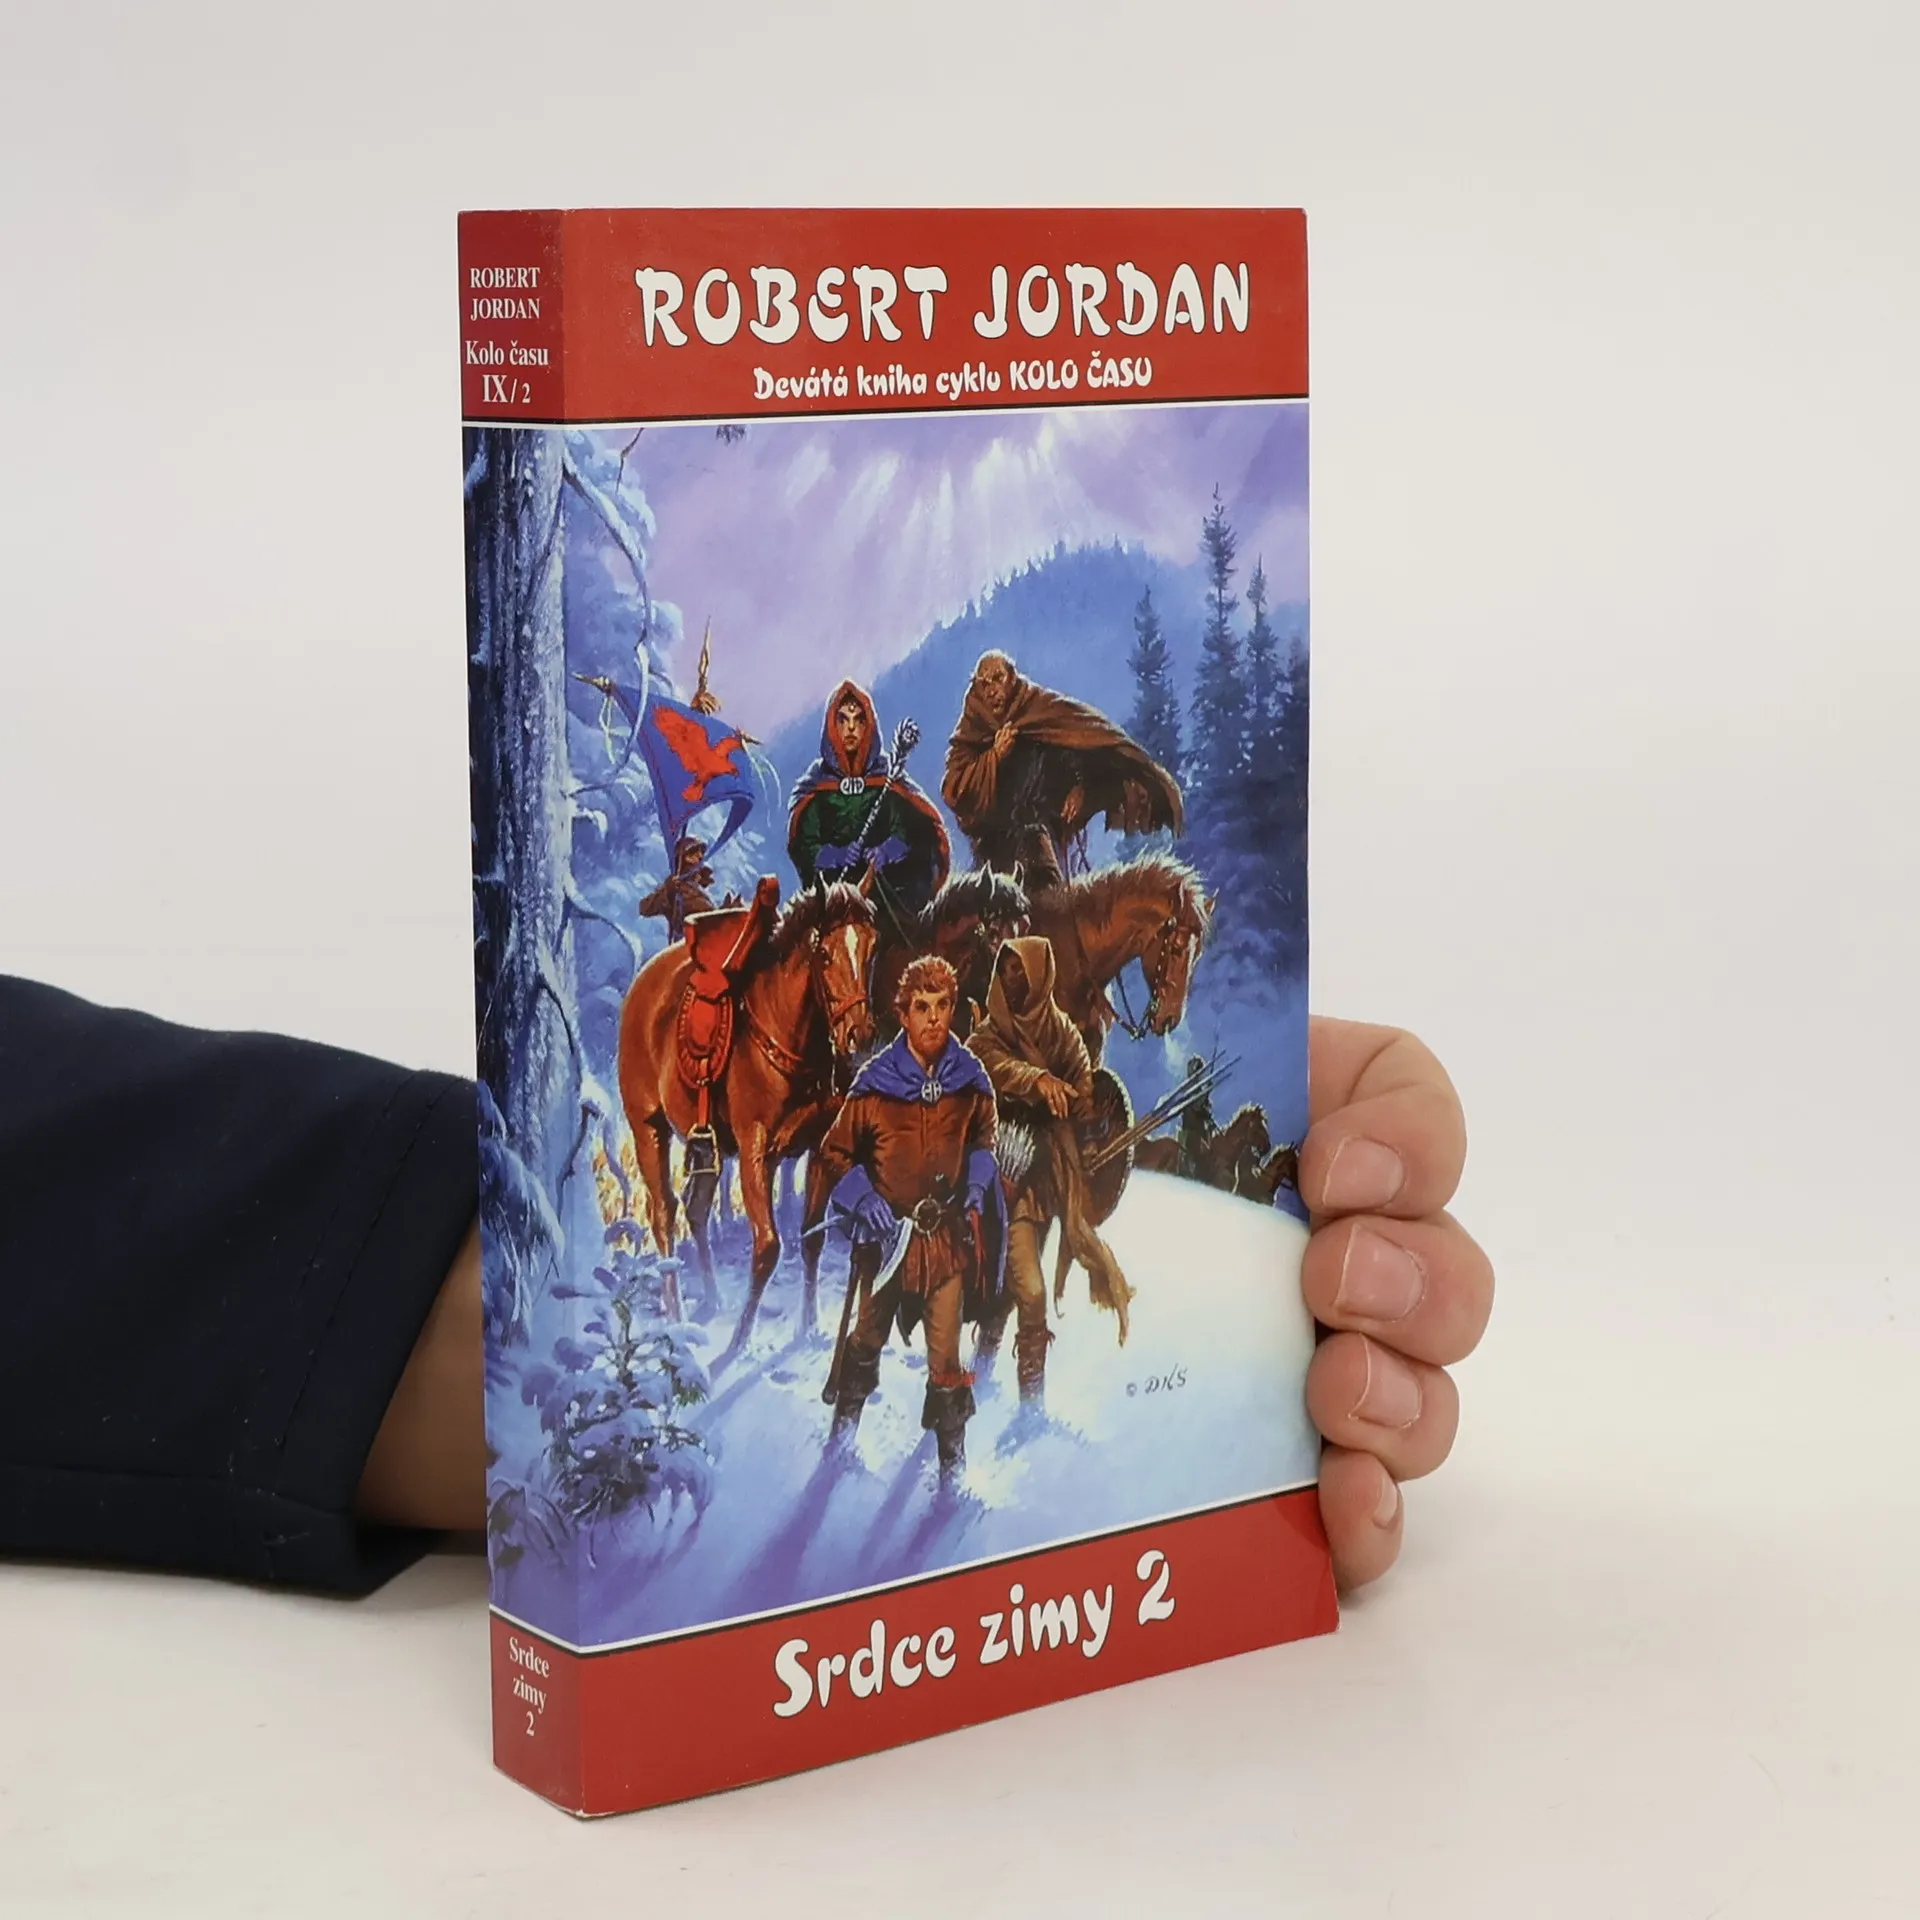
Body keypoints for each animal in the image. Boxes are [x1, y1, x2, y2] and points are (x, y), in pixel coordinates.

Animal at [616, 881, 877, 1352]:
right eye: (824, 953)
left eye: (871, 946)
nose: (859, 1034)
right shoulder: (757, 1154)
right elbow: (768, 1247)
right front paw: (739, 1340)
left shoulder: (820, 1149)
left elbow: (812, 1236)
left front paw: (809, 1325)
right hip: (649, 1127)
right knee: (664, 1211)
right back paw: (677, 1315)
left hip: (707, 1147)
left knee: (695, 1209)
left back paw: (712, 1298)